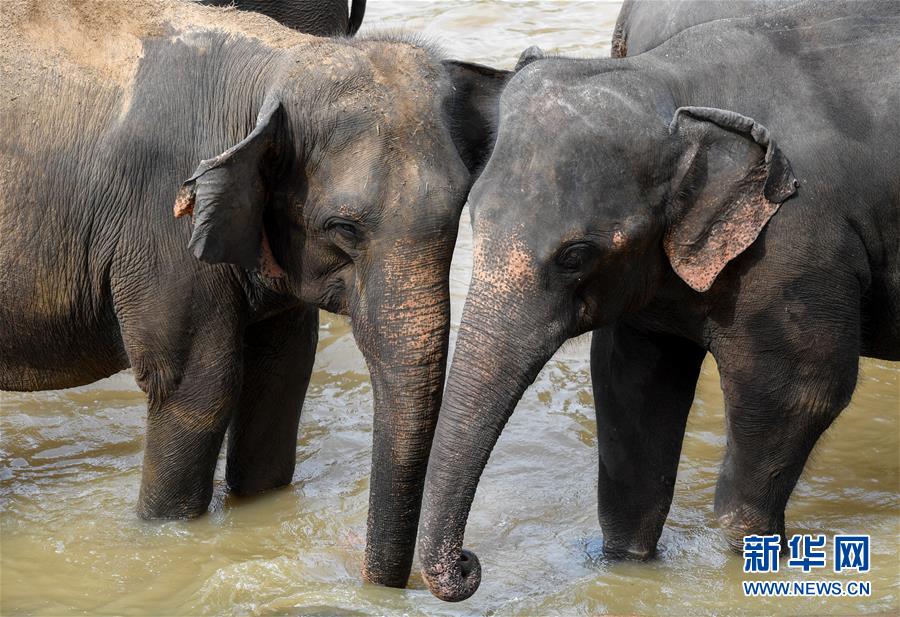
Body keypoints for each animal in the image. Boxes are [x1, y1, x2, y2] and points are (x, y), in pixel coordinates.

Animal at [0, 0, 510, 589]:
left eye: (457, 217)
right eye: (343, 229)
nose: (467, 565)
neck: (276, 68)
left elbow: (283, 371)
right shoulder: (160, 226)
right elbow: (197, 386)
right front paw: (162, 534)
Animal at [417, 0, 900, 601]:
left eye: (575, 255)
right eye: (474, 220)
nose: (468, 564)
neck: (670, 86)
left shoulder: (796, 241)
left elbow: (800, 389)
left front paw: (754, 553)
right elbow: (629, 382)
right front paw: (626, 562)